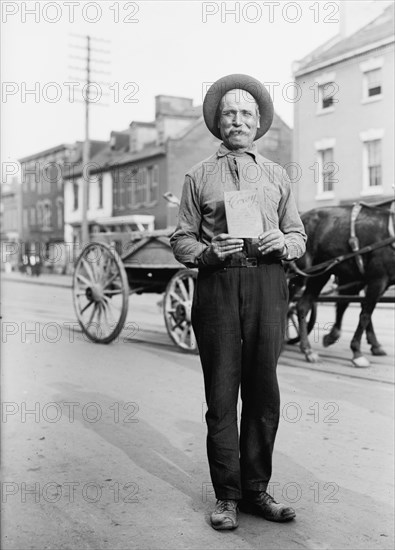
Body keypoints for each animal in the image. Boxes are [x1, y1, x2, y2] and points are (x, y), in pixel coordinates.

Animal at [290, 201, 394, 368]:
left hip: (321, 274)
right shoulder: (377, 280)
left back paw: (308, 349)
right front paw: (357, 351)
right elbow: (364, 315)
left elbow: (352, 306)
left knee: (302, 306)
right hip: (302, 272)